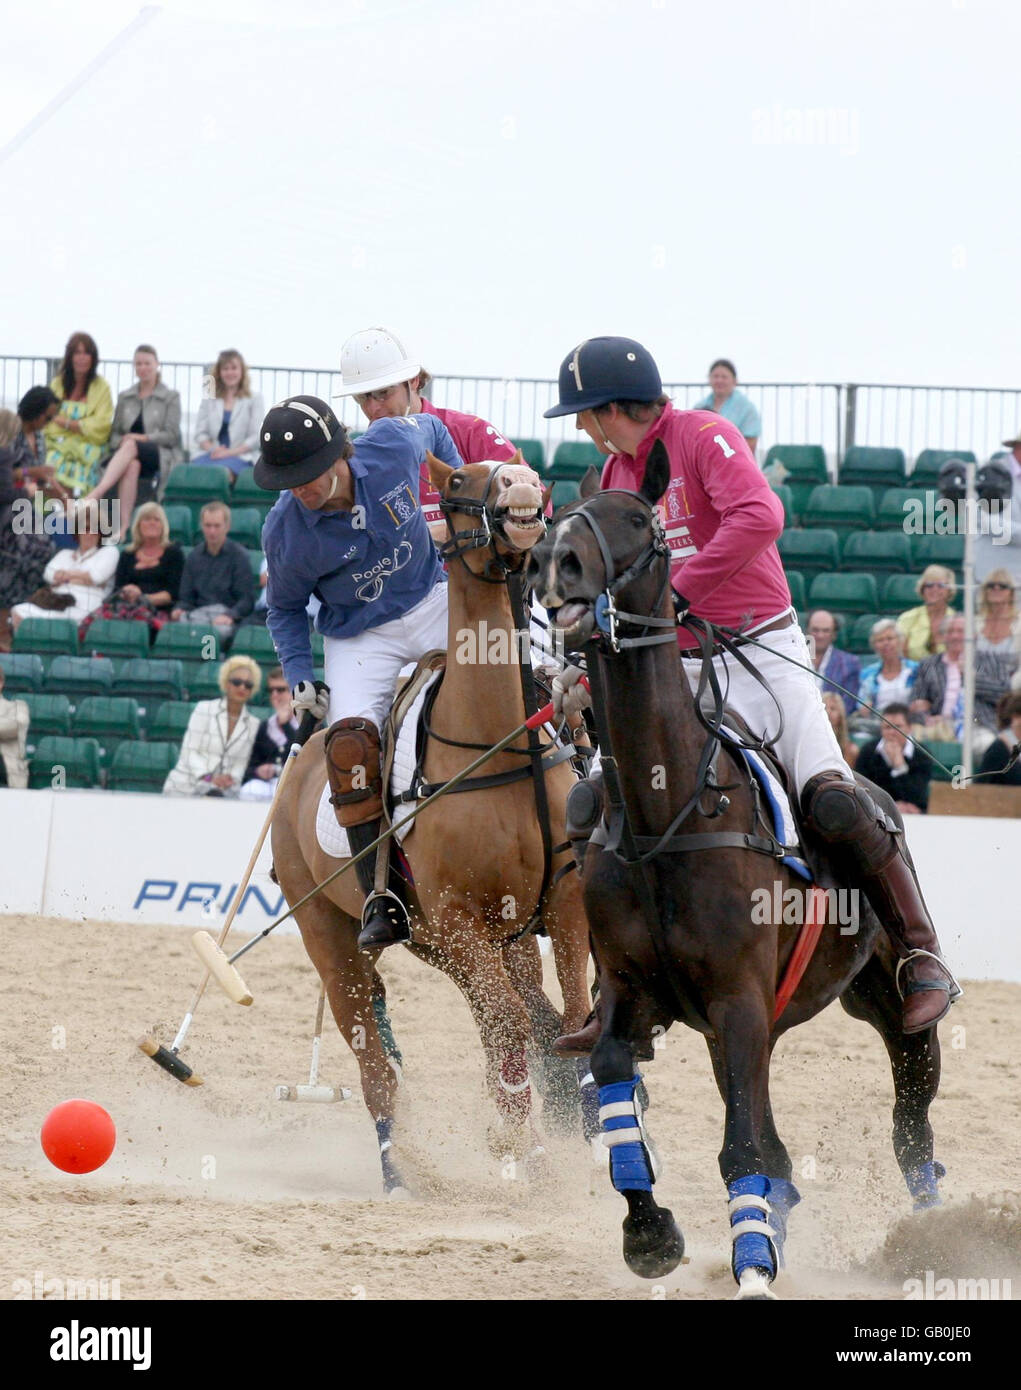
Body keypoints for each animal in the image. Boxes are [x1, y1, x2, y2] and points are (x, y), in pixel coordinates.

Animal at [269, 455, 591, 1195]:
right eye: (457, 484)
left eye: (517, 466)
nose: (525, 492)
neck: (497, 744)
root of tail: (297, 763)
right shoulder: (458, 919)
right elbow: (509, 1027)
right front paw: (521, 1145)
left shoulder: (561, 902)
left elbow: (569, 1019)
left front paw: (590, 1130)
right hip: (336, 938)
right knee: (373, 1058)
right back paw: (399, 1171)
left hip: (462, 942)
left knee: (525, 1018)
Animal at [530, 442, 944, 1289]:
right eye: (559, 515)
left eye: (639, 520)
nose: (556, 568)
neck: (664, 811)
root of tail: (871, 781)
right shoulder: (633, 991)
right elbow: (615, 1074)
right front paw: (650, 1232)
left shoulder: (740, 1000)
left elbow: (742, 1143)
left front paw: (751, 1264)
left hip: (888, 1006)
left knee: (909, 1122)